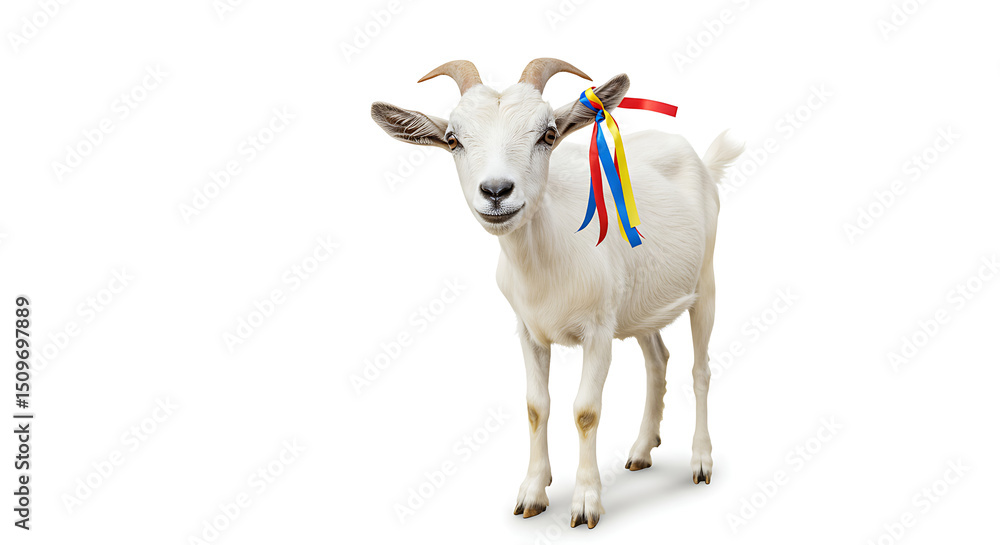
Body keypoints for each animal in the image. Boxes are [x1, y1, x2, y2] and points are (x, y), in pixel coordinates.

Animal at [371, 58, 743, 529]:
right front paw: (532, 492)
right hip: (639, 304)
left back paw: (700, 461)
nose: (496, 191)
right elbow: (536, 406)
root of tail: (702, 161)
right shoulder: (529, 331)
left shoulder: (599, 332)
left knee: (701, 370)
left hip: (705, 284)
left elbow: (585, 410)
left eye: (547, 134)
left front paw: (586, 502)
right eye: (453, 139)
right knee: (658, 360)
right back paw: (641, 451)